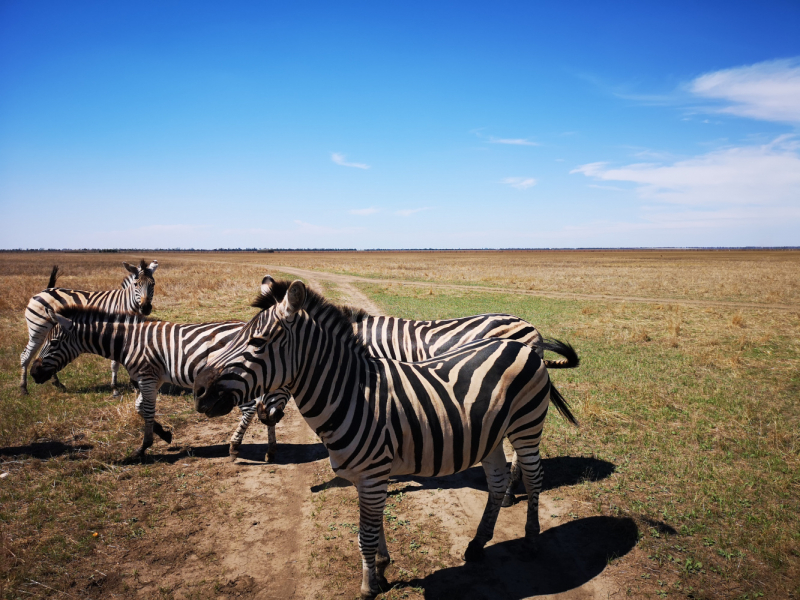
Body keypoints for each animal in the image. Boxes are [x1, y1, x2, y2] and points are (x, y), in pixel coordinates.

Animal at [19, 260, 158, 396]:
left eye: (153, 284)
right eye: (136, 284)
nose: (145, 308)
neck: (126, 303)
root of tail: (44, 290)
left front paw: (134, 384)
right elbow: (115, 363)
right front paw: (115, 388)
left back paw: (57, 383)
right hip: (37, 330)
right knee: (25, 355)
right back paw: (23, 388)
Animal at [28, 308, 266, 458]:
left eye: (53, 343)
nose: (33, 373)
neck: (126, 342)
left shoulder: (146, 377)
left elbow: (148, 409)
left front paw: (144, 447)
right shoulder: (152, 379)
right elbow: (139, 407)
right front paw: (164, 434)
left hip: (234, 380)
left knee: (249, 408)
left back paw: (235, 445)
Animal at [195, 278, 580, 600]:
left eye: (257, 342)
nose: (199, 393)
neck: (351, 392)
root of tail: (524, 344)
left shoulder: (373, 473)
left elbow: (365, 532)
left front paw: (368, 586)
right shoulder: (366, 476)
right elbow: (374, 525)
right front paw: (380, 568)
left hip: (526, 426)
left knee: (534, 477)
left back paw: (531, 537)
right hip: (490, 434)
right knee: (497, 482)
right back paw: (477, 543)